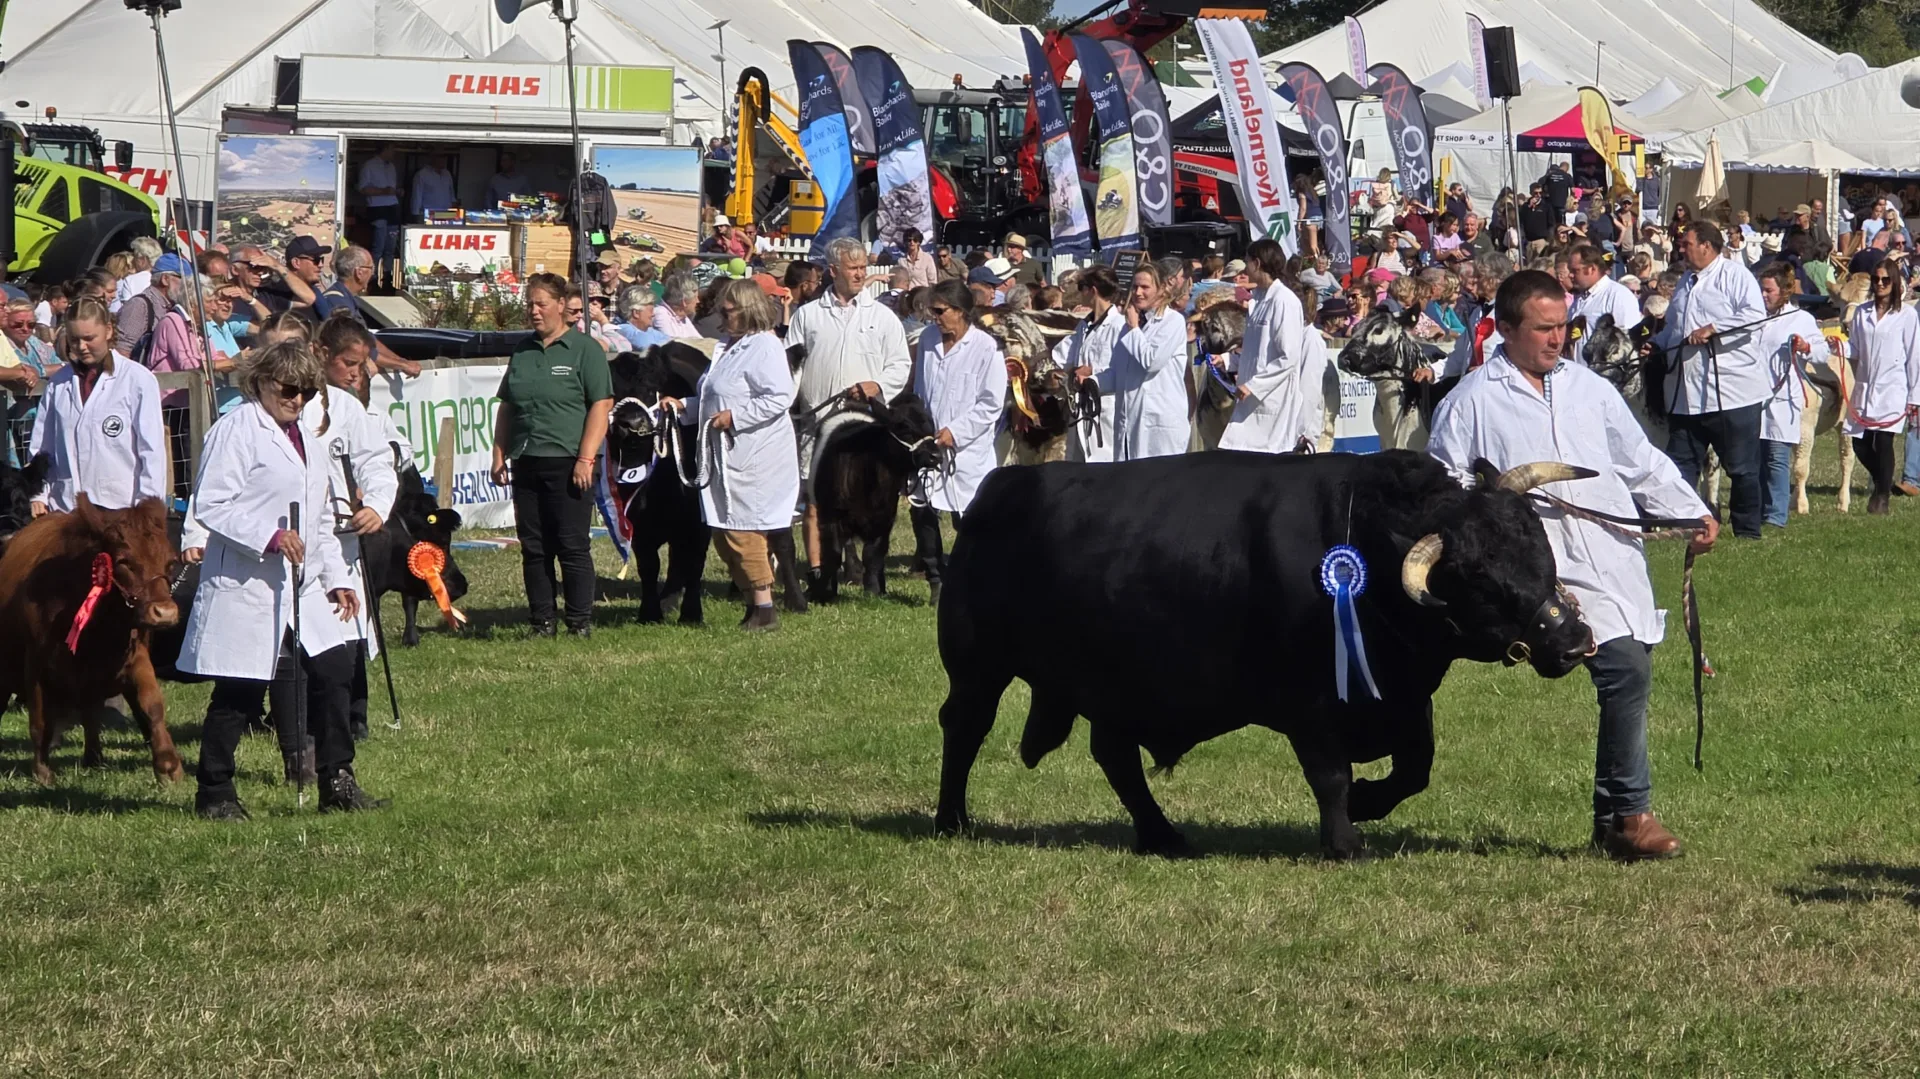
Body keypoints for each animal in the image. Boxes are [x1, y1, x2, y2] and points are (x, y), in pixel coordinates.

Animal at [0, 495, 184, 785]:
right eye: (124, 561)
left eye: (170, 562)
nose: (164, 613)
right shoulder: (36, 666)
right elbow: (40, 722)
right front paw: (42, 772)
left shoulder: (134, 657)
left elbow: (152, 705)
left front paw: (169, 765)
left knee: (91, 714)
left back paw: (94, 757)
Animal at [606, 343, 714, 624]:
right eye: (617, 391)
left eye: (651, 388)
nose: (631, 424)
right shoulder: (636, 522)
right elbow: (649, 566)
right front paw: (650, 612)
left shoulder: (700, 522)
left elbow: (695, 563)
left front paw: (692, 613)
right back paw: (668, 599)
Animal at [805, 391, 938, 601]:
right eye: (904, 428)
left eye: (931, 427)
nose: (936, 456)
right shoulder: (830, 516)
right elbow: (833, 553)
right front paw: (824, 593)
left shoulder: (884, 518)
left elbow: (873, 553)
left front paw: (874, 591)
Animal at [932, 450, 1596, 860]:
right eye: (1478, 578)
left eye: (1538, 543)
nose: (1572, 641)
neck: (1365, 551)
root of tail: (1001, 488)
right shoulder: (1310, 706)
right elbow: (1330, 774)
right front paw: (1344, 840)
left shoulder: (1406, 701)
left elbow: (1416, 769)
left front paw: (1368, 802)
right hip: (977, 667)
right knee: (964, 729)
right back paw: (951, 820)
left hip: (1115, 687)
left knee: (1115, 757)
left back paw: (1162, 835)